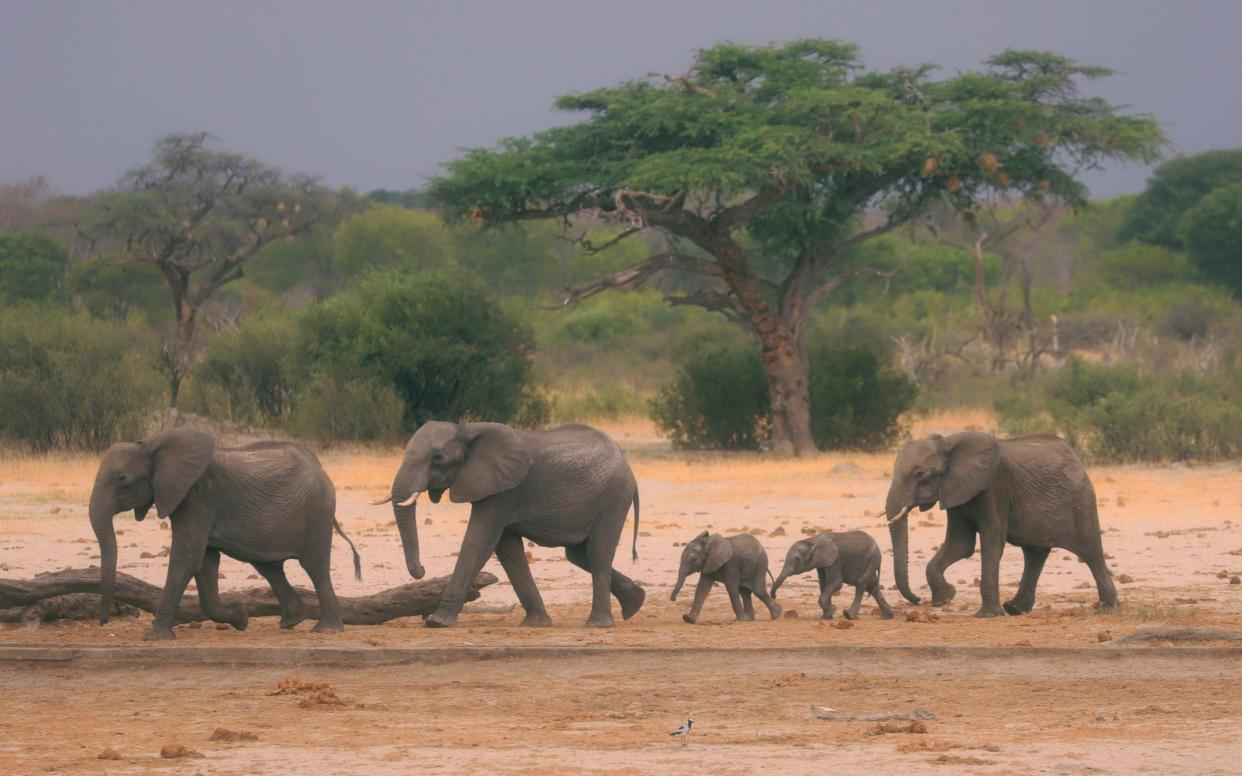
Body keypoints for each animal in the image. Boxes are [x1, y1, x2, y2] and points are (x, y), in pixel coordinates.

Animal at [86, 427, 360, 640]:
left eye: (122, 478)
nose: (104, 622)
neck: (152, 445)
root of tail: (321, 468)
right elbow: (204, 562)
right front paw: (240, 617)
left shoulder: (198, 497)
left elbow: (187, 557)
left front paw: (154, 637)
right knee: (269, 567)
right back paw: (291, 621)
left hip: (317, 511)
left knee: (315, 566)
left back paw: (327, 630)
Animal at [380, 419, 645, 625]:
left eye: (437, 457)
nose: (422, 570)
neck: (466, 429)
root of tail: (629, 470)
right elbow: (508, 550)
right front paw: (535, 624)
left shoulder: (504, 491)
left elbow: (479, 541)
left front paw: (438, 622)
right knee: (579, 555)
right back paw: (635, 604)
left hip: (613, 497)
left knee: (598, 555)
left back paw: (598, 624)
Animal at [765, 528, 894, 620]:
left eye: (798, 559)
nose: (774, 596)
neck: (813, 541)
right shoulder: (822, 563)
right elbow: (824, 584)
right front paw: (827, 616)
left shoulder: (835, 560)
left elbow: (836, 583)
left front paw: (832, 610)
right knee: (872, 587)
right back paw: (888, 617)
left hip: (872, 559)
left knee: (861, 583)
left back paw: (849, 615)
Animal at [884, 429, 1117, 618]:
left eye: (920, 474)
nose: (917, 600)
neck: (949, 443)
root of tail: (1076, 458)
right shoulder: (956, 490)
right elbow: (960, 544)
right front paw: (945, 598)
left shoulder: (993, 487)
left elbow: (991, 539)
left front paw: (986, 615)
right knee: (1035, 555)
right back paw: (1014, 609)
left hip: (1080, 499)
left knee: (1091, 552)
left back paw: (1109, 608)